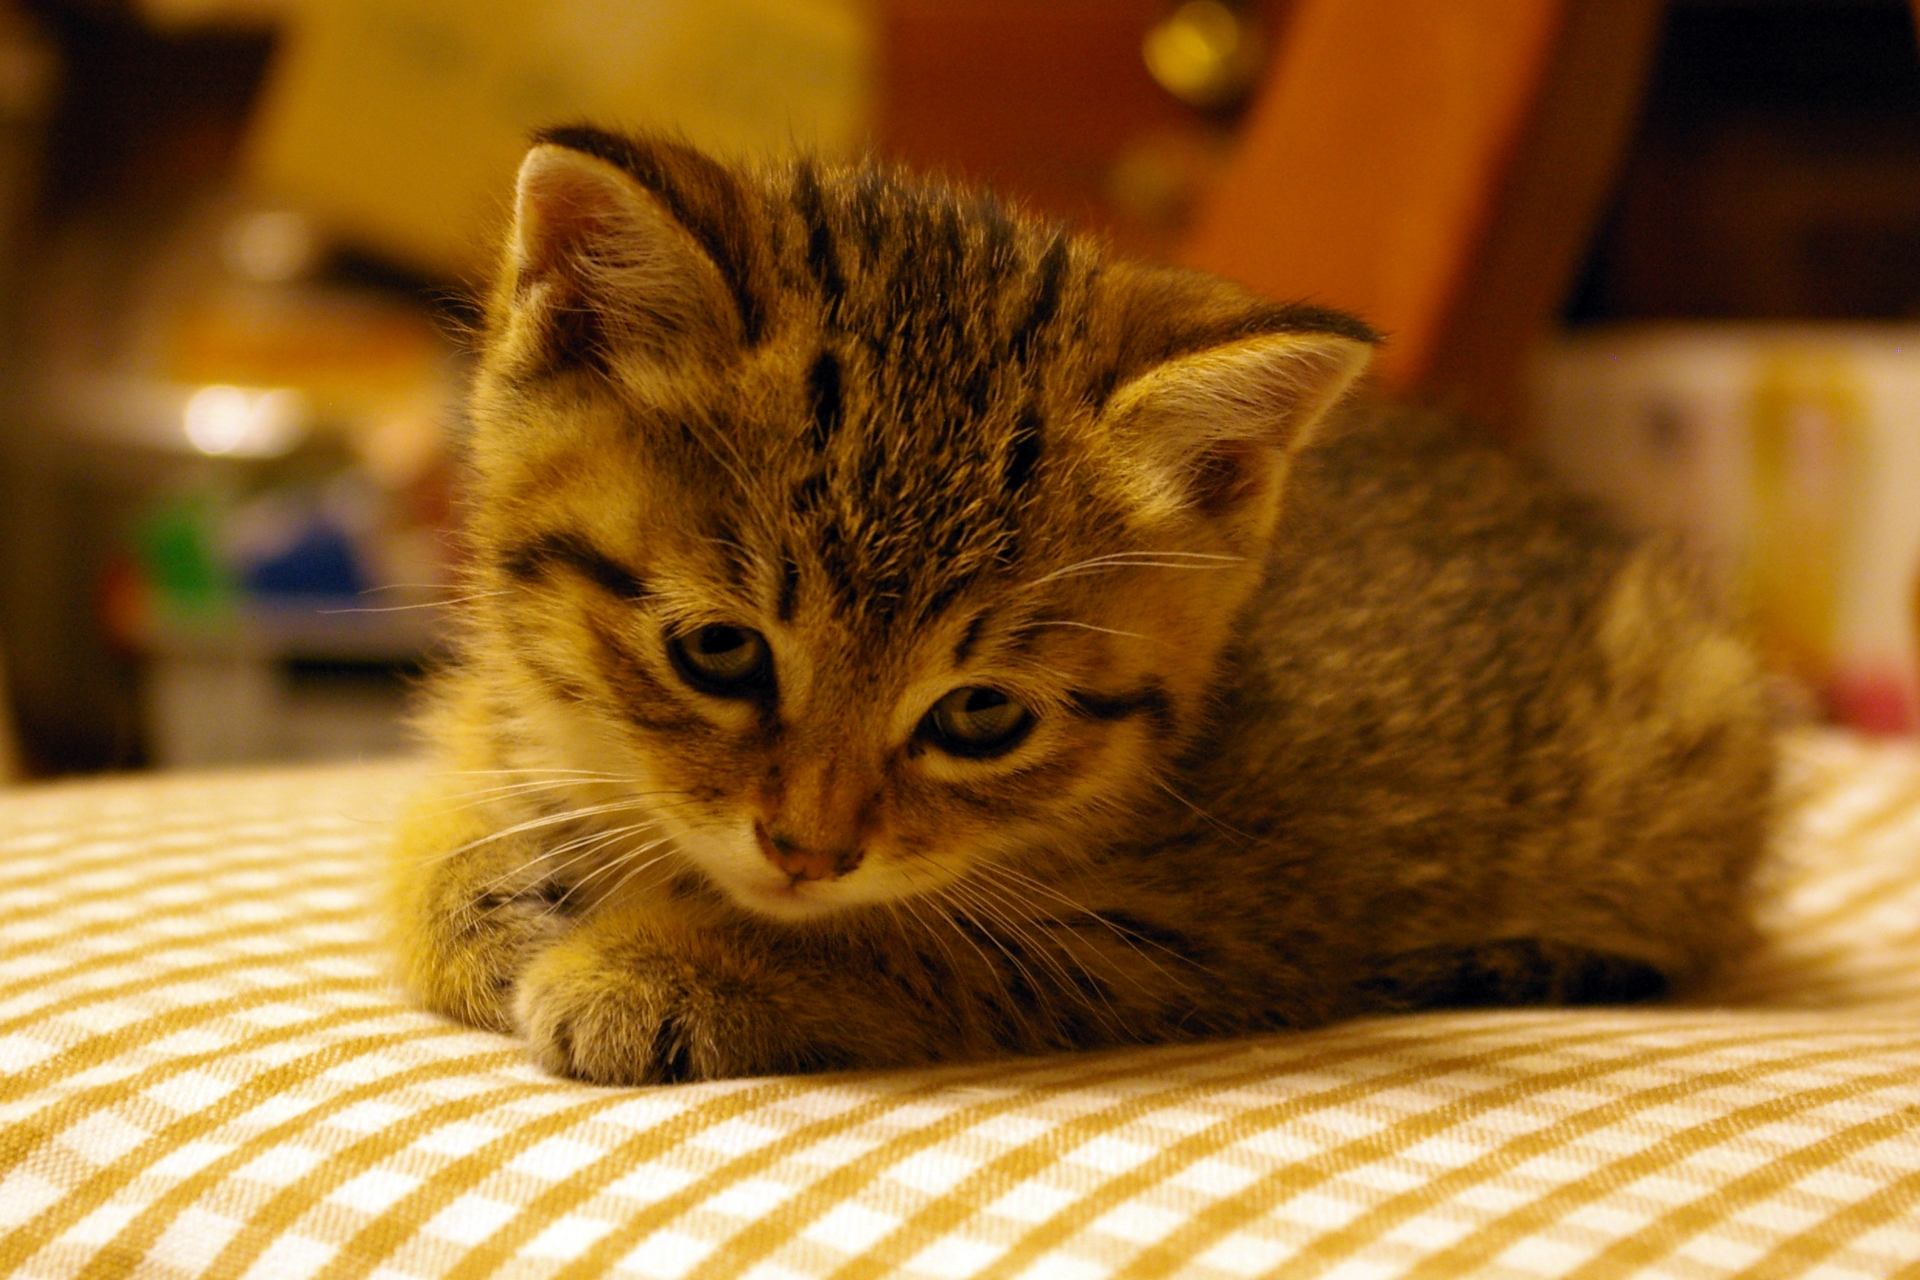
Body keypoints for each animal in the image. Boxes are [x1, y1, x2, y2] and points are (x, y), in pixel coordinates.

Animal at [382, 127, 1774, 1082]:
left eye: (981, 716)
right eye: (718, 650)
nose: (808, 851)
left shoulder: (1195, 938)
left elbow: (910, 939)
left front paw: (657, 965)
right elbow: (440, 850)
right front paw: (493, 893)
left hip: (1695, 703)